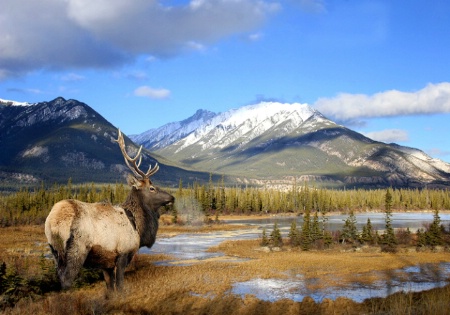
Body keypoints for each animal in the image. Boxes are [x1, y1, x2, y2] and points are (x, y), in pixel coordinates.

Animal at [44, 130, 174, 292]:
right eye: (152, 188)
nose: (172, 197)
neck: (138, 227)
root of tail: (54, 220)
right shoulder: (123, 253)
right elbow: (120, 286)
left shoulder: (106, 262)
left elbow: (110, 288)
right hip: (77, 249)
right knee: (66, 281)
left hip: (55, 251)